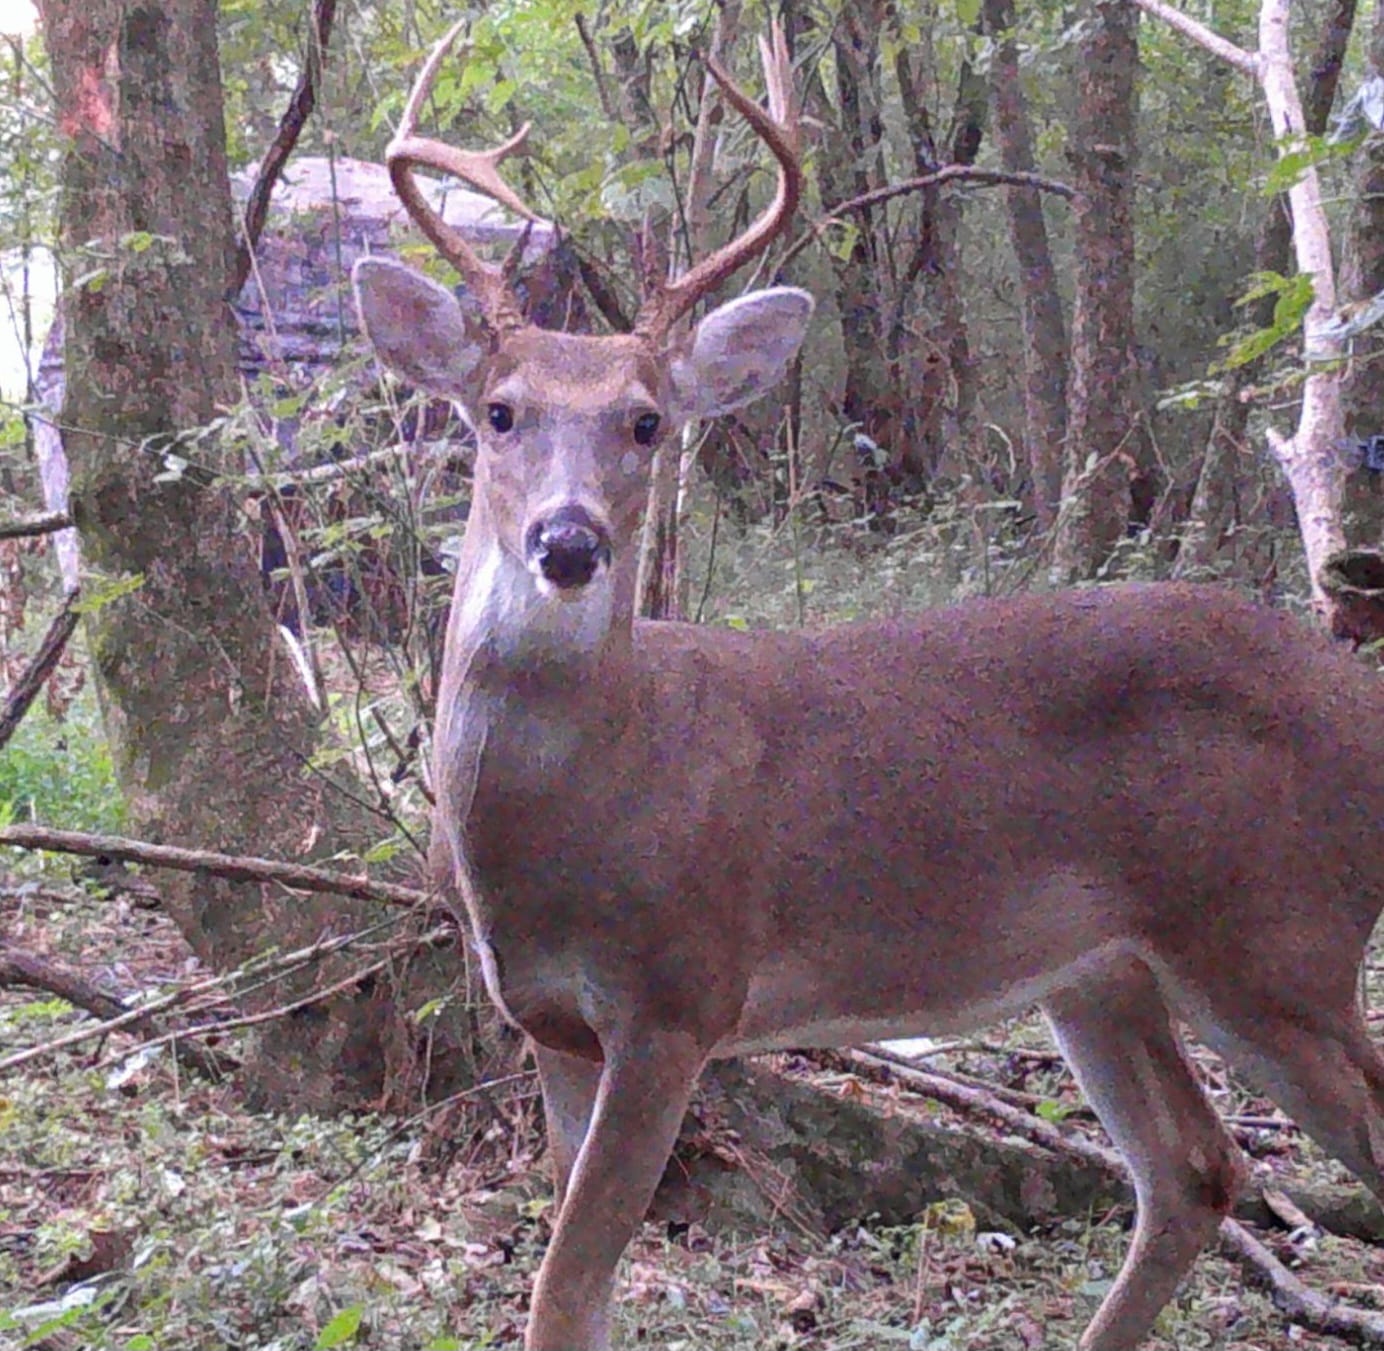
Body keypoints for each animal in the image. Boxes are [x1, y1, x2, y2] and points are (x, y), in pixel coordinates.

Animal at [352, 20, 1384, 1351]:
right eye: (496, 412)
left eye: (645, 422)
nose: (567, 542)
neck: (597, 796)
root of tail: (1359, 698)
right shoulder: (551, 1023)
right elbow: (580, 1284)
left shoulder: (681, 994)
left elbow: (566, 1283)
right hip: (1104, 970)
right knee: (1194, 1168)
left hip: (1281, 936)